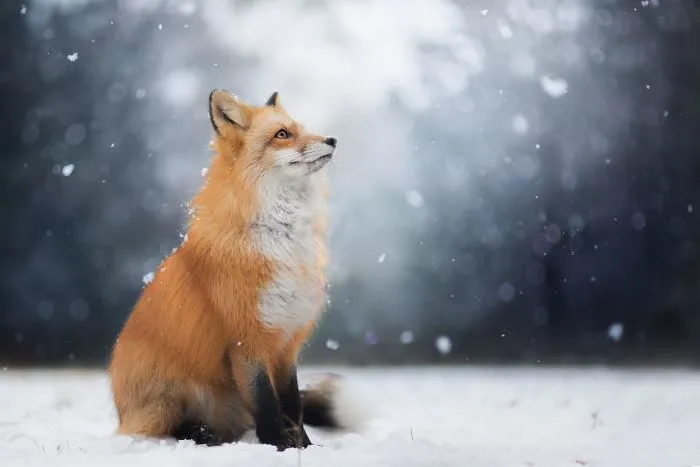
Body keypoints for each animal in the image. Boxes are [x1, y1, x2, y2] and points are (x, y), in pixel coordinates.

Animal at [108, 89, 358, 451]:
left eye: (301, 129)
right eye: (282, 134)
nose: (332, 140)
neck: (280, 236)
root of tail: (120, 412)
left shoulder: (285, 343)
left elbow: (292, 406)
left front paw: (305, 449)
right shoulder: (246, 341)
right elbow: (267, 407)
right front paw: (277, 448)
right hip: (165, 402)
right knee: (165, 430)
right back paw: (201, 435)